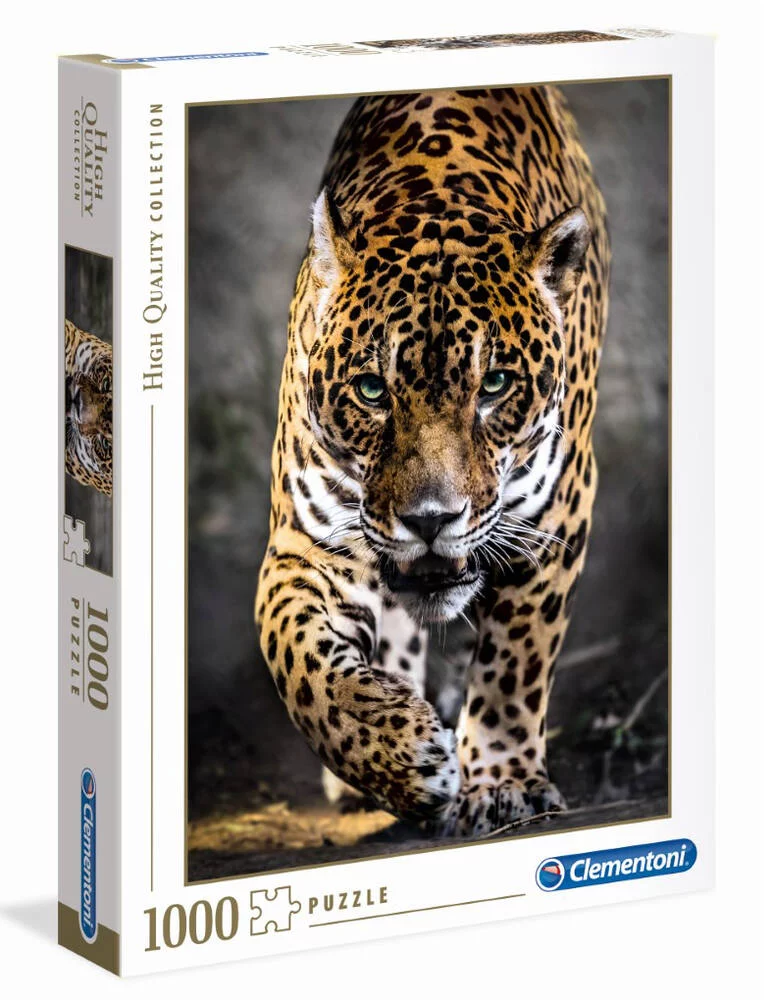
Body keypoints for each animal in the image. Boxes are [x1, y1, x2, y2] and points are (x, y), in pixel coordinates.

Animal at [255, 86, 610, 837]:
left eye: (495, 385)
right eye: (371, 390)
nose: (429, 520)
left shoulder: (555, 517)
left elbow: (514, 661)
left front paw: (501, 783)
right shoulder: (307, 543)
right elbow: (297, 659)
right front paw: (397, 754)